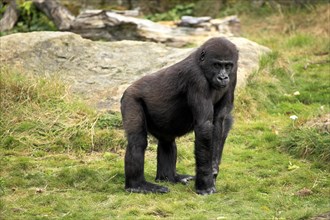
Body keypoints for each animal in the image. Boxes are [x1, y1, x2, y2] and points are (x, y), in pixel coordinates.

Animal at [120, 37, 237, 195]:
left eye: (228, 66)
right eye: (217, 65)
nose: (223, 77)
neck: (202, 65)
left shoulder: (234, 75)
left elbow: (221, 120)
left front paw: (214, 167)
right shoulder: (196, 79)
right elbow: (204, 127)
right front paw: (205, 182)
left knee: (167, 141)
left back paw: (168, 177)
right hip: (130, 98)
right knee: (137, 142)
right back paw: (137, 185)